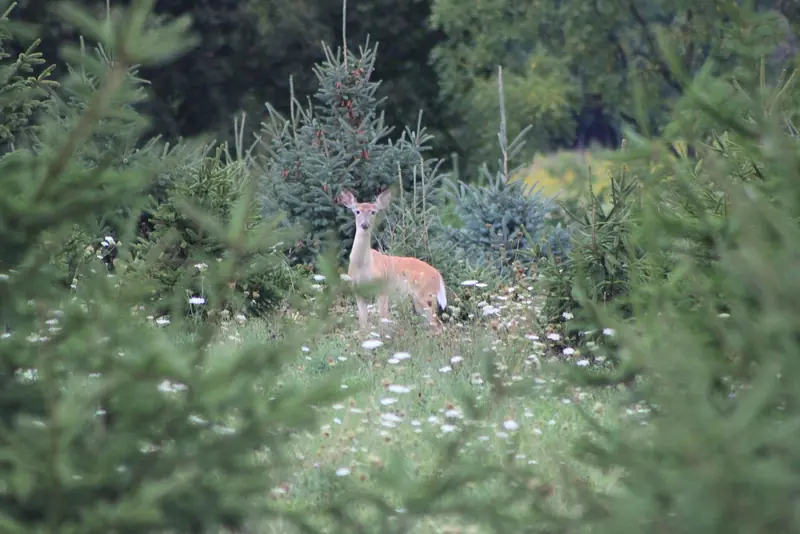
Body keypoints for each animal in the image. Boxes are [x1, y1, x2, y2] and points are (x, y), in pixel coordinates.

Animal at [335, 189, 447, 333]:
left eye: (373, 211)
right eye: (357, 211)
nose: (365, 224)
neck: (363, 266)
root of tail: (438, 276)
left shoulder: (382, 289)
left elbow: (383, 322)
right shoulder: (358, 292)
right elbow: (363, 326)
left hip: (425, 295)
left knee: (438, 325)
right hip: (420, 301)